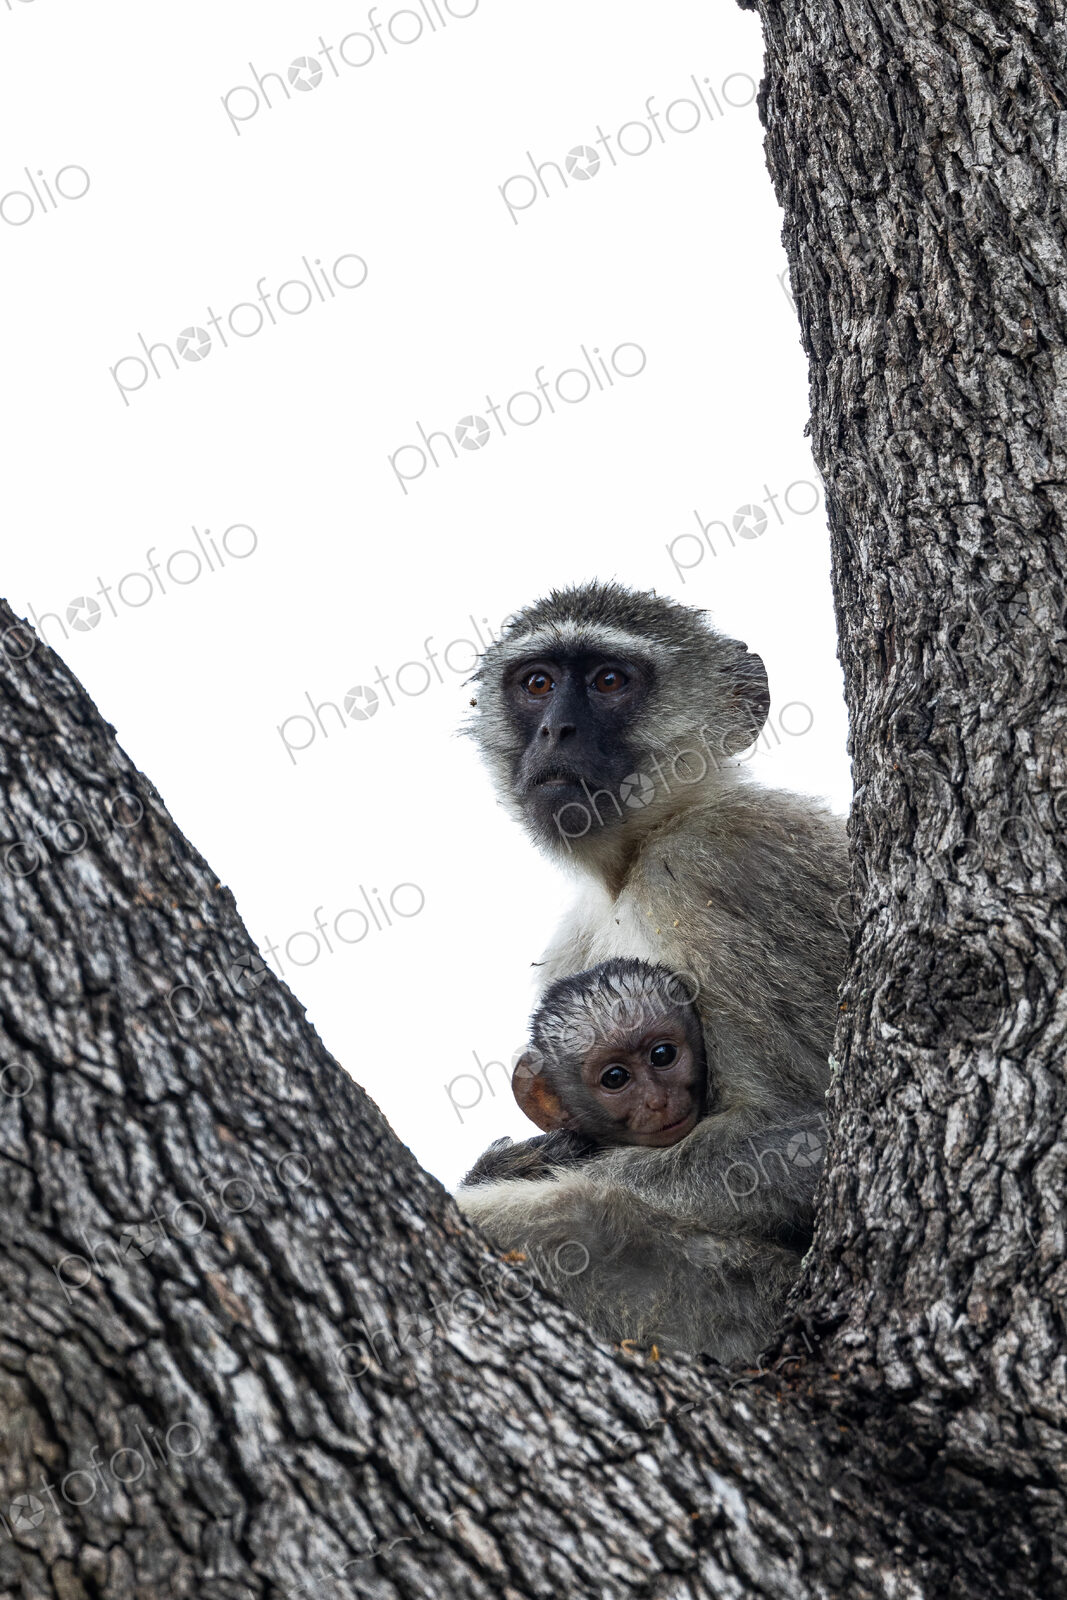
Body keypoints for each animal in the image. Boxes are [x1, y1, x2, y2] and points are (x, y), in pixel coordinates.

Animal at [456, 581, 849, 1358]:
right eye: (537, 683)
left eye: (610, 681)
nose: (556, 733)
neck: (635, 856)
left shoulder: (720, 863)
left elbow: (816, 1130)